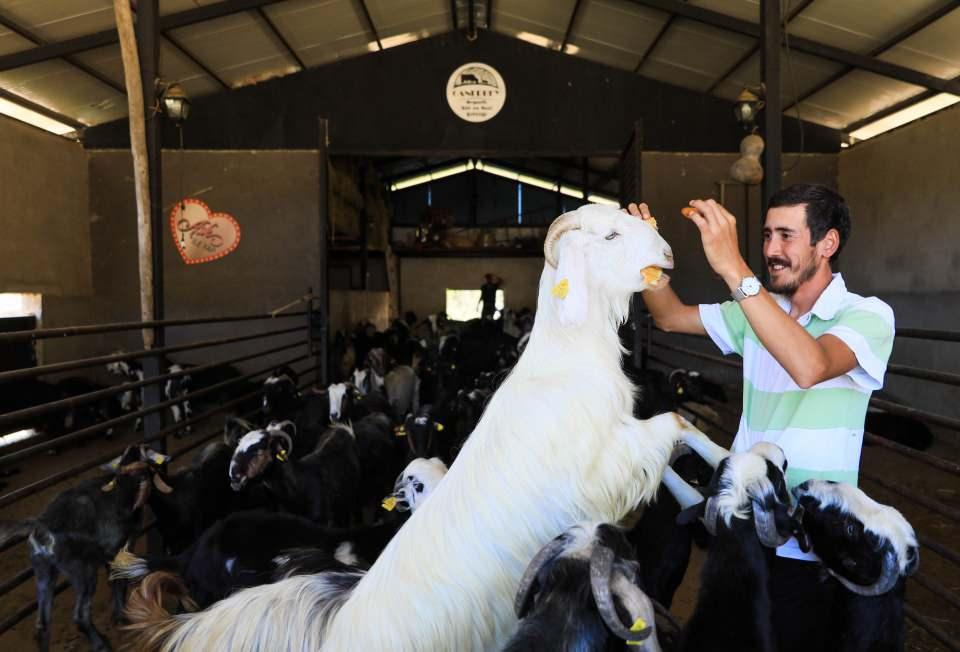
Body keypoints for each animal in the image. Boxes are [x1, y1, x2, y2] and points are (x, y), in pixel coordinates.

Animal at [122, 204, 728, 652]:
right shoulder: (606, 463)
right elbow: (675, 424)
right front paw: (718, 470)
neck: (564, 361)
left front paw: (699, 492)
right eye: (609, 234)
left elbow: (672, 440)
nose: (669, 253)